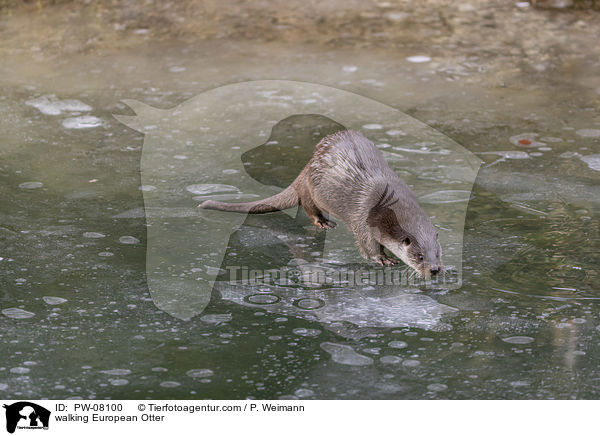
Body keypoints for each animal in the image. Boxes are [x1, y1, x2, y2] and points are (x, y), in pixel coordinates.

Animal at [199, 129, 442, 276]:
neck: (387, 207)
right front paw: (383, 259)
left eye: (438, 253)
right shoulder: (363, 219)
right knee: (307, 204)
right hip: (314, 190)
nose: (435, 270)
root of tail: (308, 164)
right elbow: (367, 246)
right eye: (419, 256)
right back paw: (323, 222)